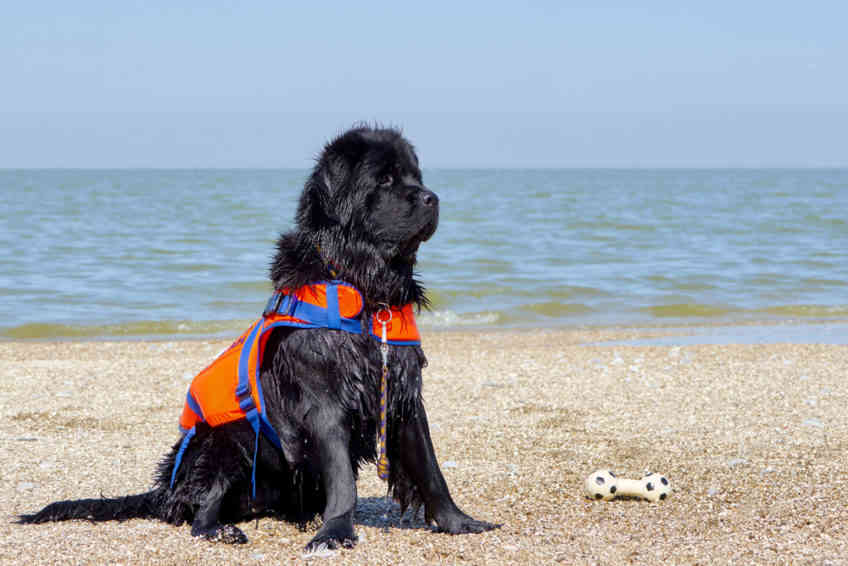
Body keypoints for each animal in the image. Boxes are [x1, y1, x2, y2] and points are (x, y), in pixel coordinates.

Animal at [19, 126, 496, 552]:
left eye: (416, 176)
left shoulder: (401, 390)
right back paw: (222, 531)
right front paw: (336, 532)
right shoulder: (325, 398)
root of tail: (165, 489)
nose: (432, 197)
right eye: (385, 180)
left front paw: (461, 522)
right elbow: (343, 475)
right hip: (223, 439)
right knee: (200, 509)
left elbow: (430, 468)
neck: (360, 283)